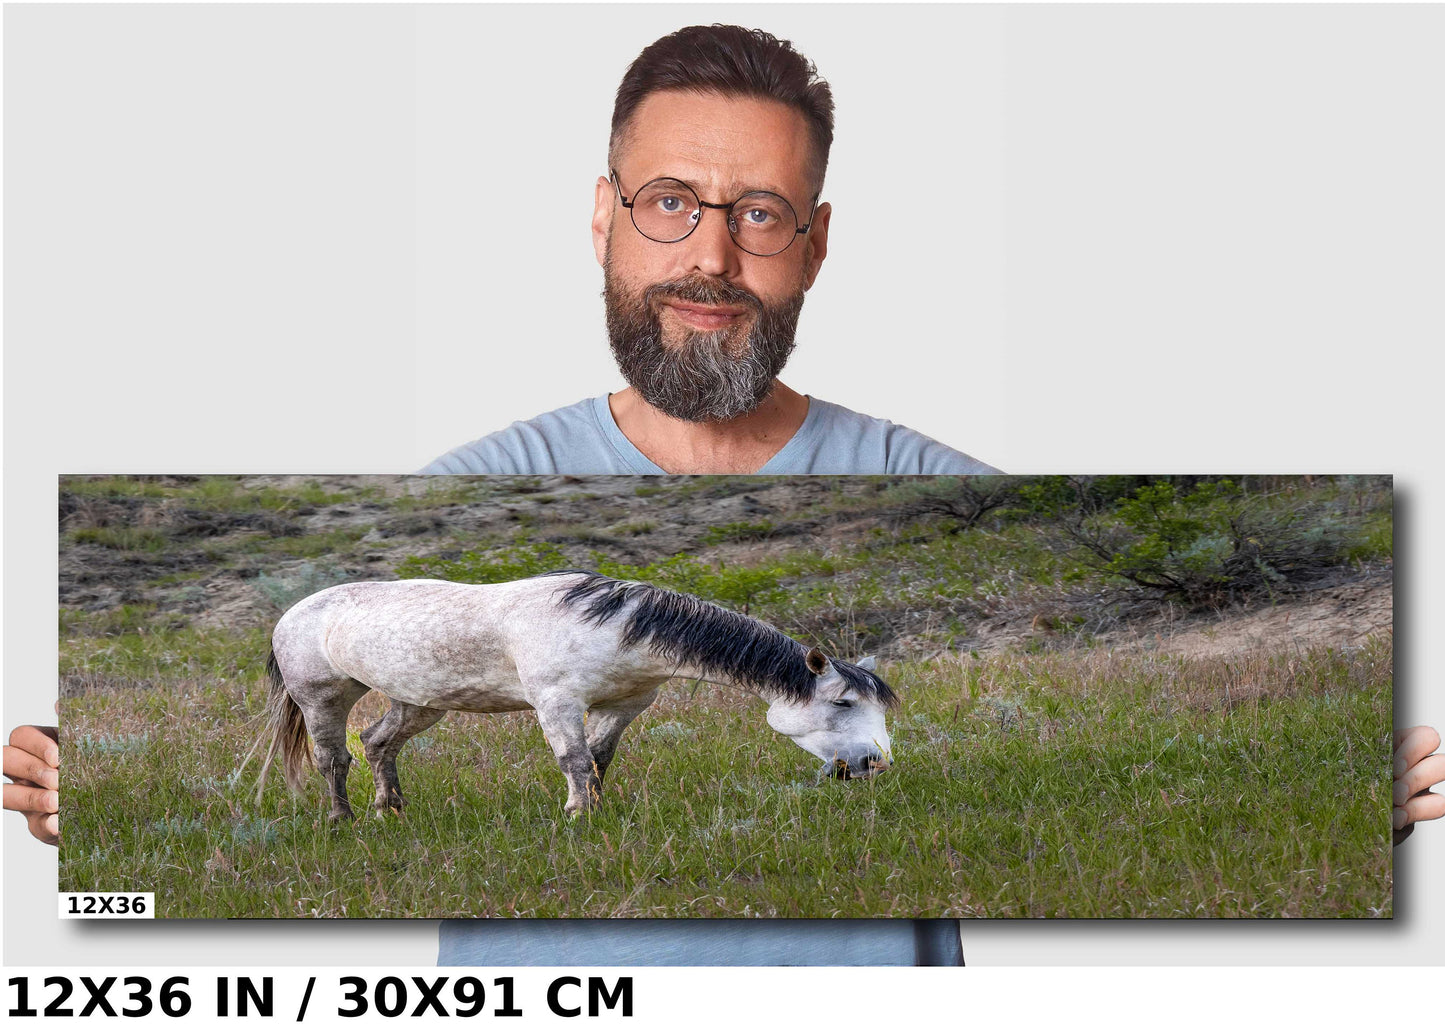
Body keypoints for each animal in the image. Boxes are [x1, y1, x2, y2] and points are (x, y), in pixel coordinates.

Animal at [257, 572, 890, 821]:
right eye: (842, 703)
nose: (873, 765)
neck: (614, 627)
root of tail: (291, 612)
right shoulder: (557, 703)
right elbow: (573, 759)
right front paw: (578, 814)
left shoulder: (624, 706)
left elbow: (601, 758)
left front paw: (599, 807)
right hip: (321, 699)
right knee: (333, 758)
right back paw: (342, 817)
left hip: (419, 704)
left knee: (378, 743)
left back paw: (391, 807)